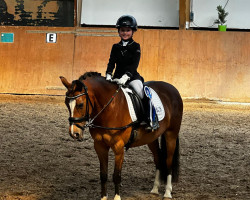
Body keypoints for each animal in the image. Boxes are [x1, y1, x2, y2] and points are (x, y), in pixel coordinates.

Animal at [59, 72, 183, 200]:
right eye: (66, 104)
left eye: (80, 104)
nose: (74, 133)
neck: (109, 109)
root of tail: (172, 88)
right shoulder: (100, 146)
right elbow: (103, 174)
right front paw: (103, 197)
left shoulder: (118, 147)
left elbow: (116, 175)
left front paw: (117, 197)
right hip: (151, 138)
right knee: (158, 159)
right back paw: (155, 189)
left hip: (171, 134)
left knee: (168, 162)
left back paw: (167, 192)